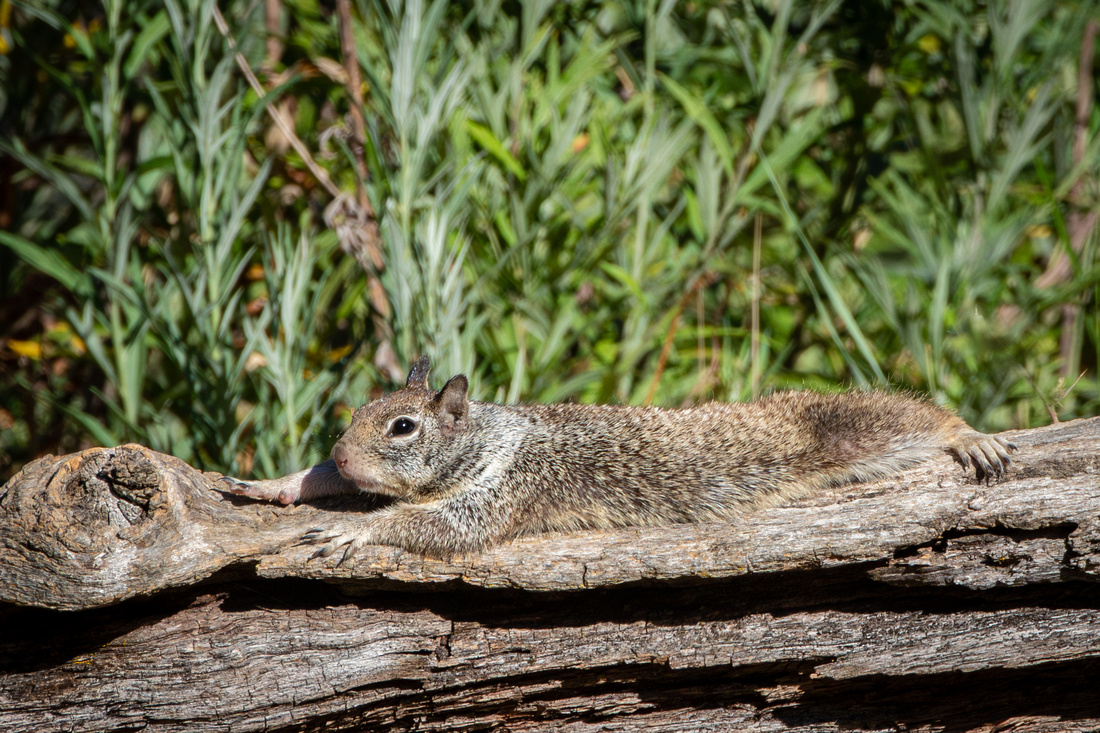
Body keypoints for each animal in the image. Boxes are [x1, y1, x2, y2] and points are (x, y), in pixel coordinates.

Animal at [221, 356, 1012, 556]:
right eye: (356, 412)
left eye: (404, 426)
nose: (345, 454)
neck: (489, 437)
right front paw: (277, 482)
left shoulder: (506, 488)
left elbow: (443, 525)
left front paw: (362, 529)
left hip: (841, 429)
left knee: (912, 418)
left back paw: (969, 434)